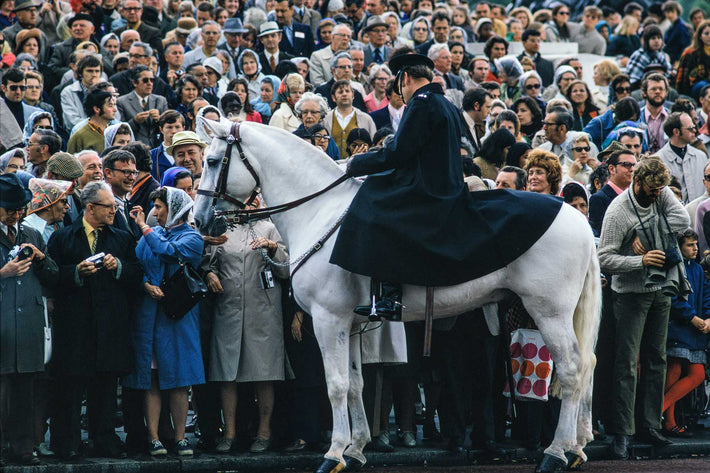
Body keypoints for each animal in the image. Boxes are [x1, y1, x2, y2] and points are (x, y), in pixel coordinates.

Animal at [196, 121, 608, 472]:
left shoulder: (329, 320)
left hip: (549, 312)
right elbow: (356, 384)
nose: (199, 221)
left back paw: (555, 452)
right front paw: (357, 449)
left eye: (213, 161)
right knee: (588, 364)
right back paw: (578, 445)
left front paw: (334, 453)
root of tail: (580, 221)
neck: (318, 211)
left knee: (572, 369)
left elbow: (336, 385)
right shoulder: (350, 323)